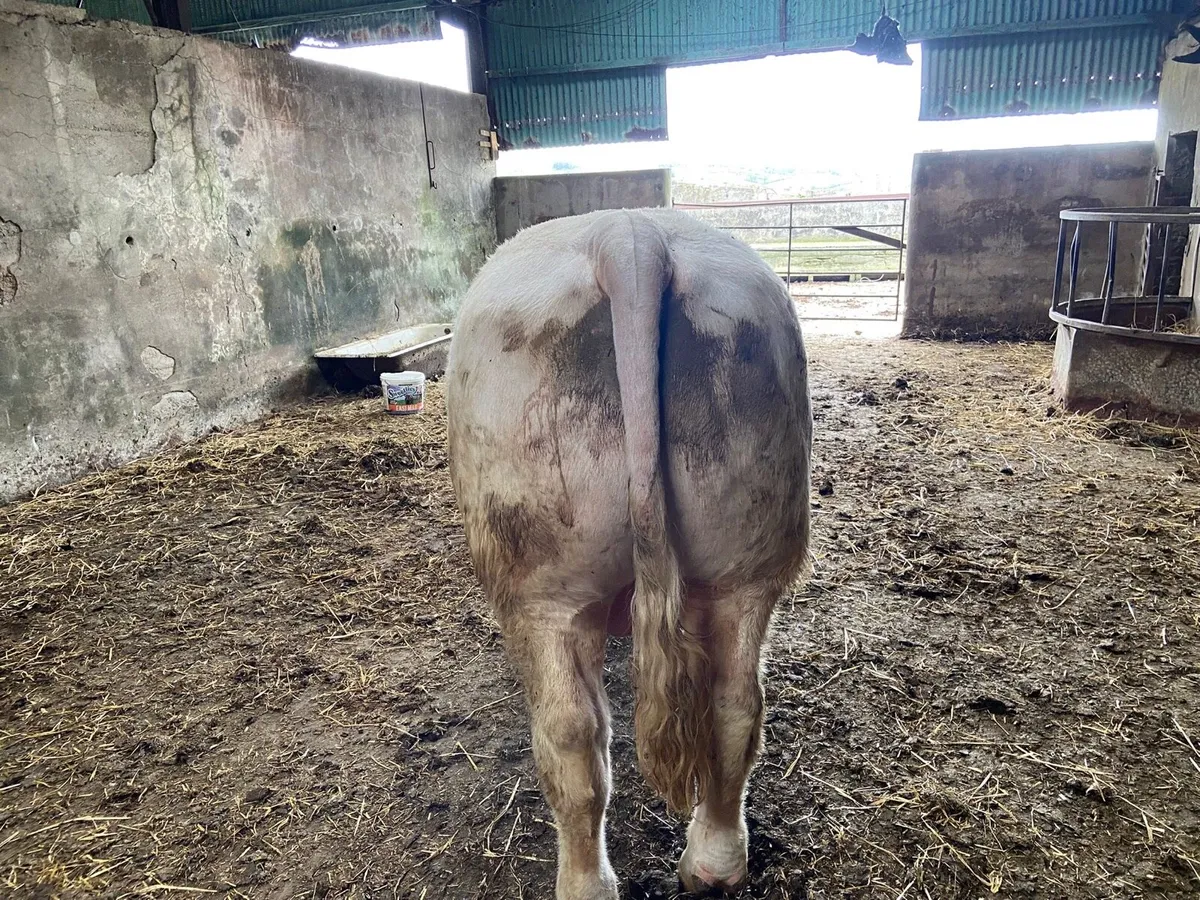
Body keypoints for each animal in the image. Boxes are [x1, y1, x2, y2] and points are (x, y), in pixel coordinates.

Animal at [446, 208, 812, 899]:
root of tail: (629, 240)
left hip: (542, 583)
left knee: (571, 735)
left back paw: (586, 883)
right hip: (749, 558)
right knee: (736, 705)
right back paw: (715, 862)